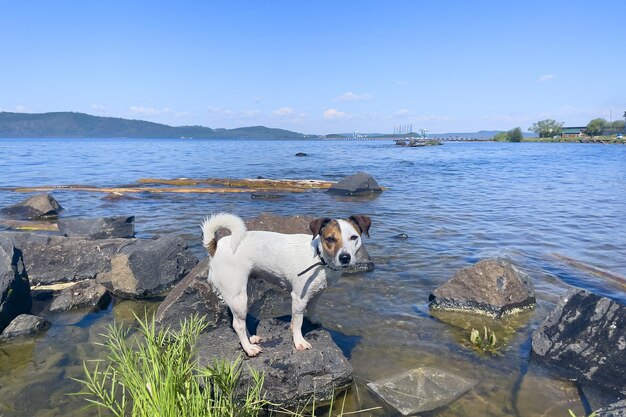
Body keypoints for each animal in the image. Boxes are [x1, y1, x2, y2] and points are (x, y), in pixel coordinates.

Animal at [201, 213, 370, 356]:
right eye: (330, 239)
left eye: (353, 237)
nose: (345, 258)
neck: (319, 257)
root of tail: (216, 246)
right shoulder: (299, 298)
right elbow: (298, 322)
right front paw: (299, 341)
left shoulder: (316, 293)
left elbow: (311, 309)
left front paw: (311, 321)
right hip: (238, 296)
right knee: (238, 325)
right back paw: (248, 348)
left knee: (239, 321)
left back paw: (251, 339)